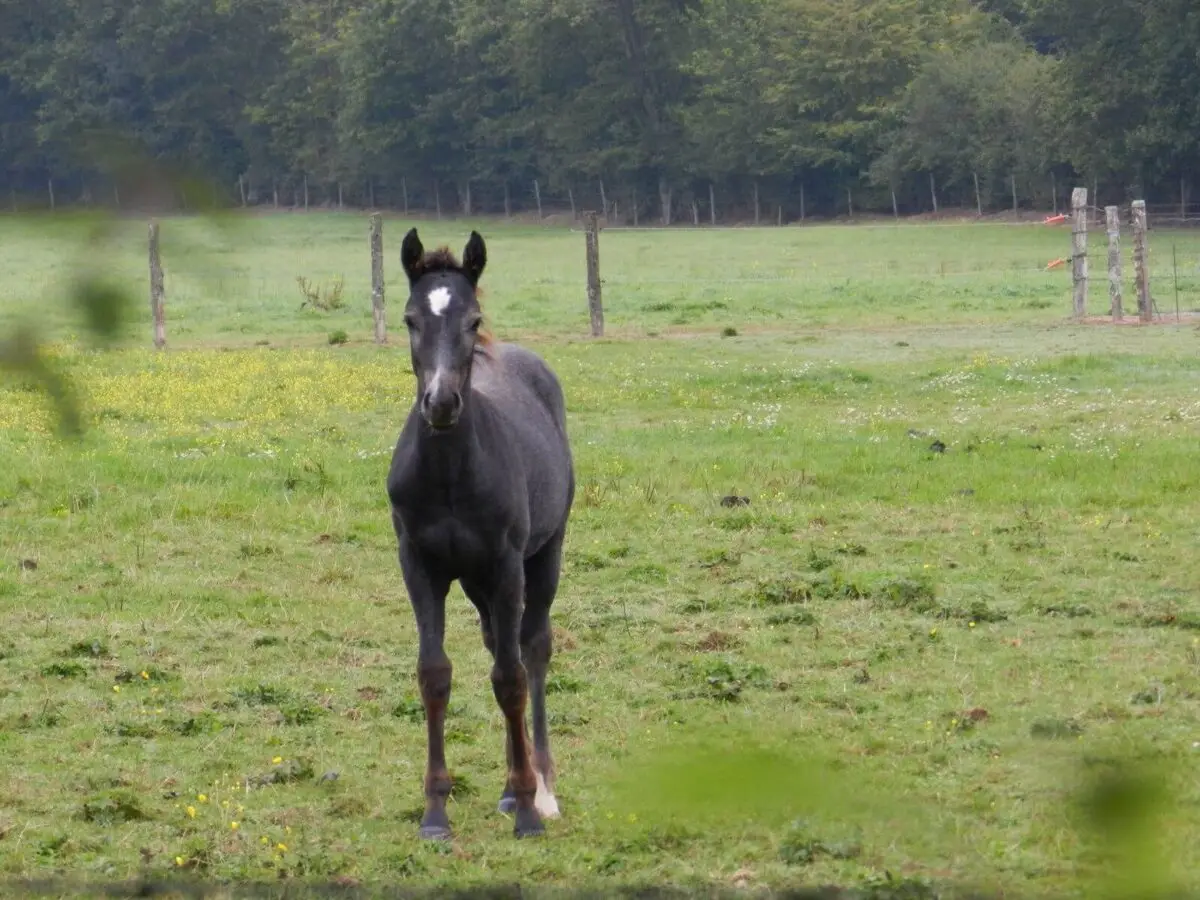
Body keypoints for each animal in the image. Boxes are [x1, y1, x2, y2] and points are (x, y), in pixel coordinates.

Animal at [385, 227, 575, 840]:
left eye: (473, 320)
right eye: (410, 318)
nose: (441, 402)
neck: (449, 472)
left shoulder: (506, 566)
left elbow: (511, 678)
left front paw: (529, 813)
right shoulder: (420, 566)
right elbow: (434, 674)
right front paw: (435, 813)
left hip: (543, 556)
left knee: (531, 650)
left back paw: (539, 787)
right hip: (473, 581)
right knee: (498, 643)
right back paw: (509, 788)